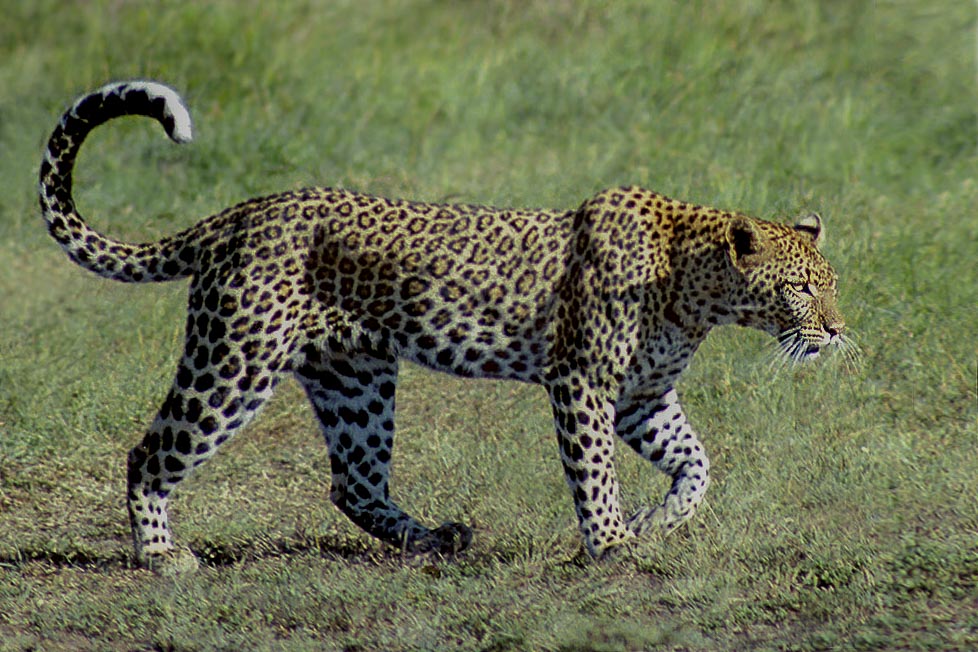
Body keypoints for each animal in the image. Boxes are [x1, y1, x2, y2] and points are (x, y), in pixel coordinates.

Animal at [38, 80, 848, 572]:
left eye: (832, 285)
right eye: (803, 288)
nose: (839, 331)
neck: (695, 290)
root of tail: (240, 212)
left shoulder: (643, 396)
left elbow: (698, 463)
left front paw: (659, 520)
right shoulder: (582, 381)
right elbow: (594, 470)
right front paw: (614, 543)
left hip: (354, 380)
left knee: (354, 483)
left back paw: (434, 539)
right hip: (234, 360)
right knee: (151, 452)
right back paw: (160, 556)